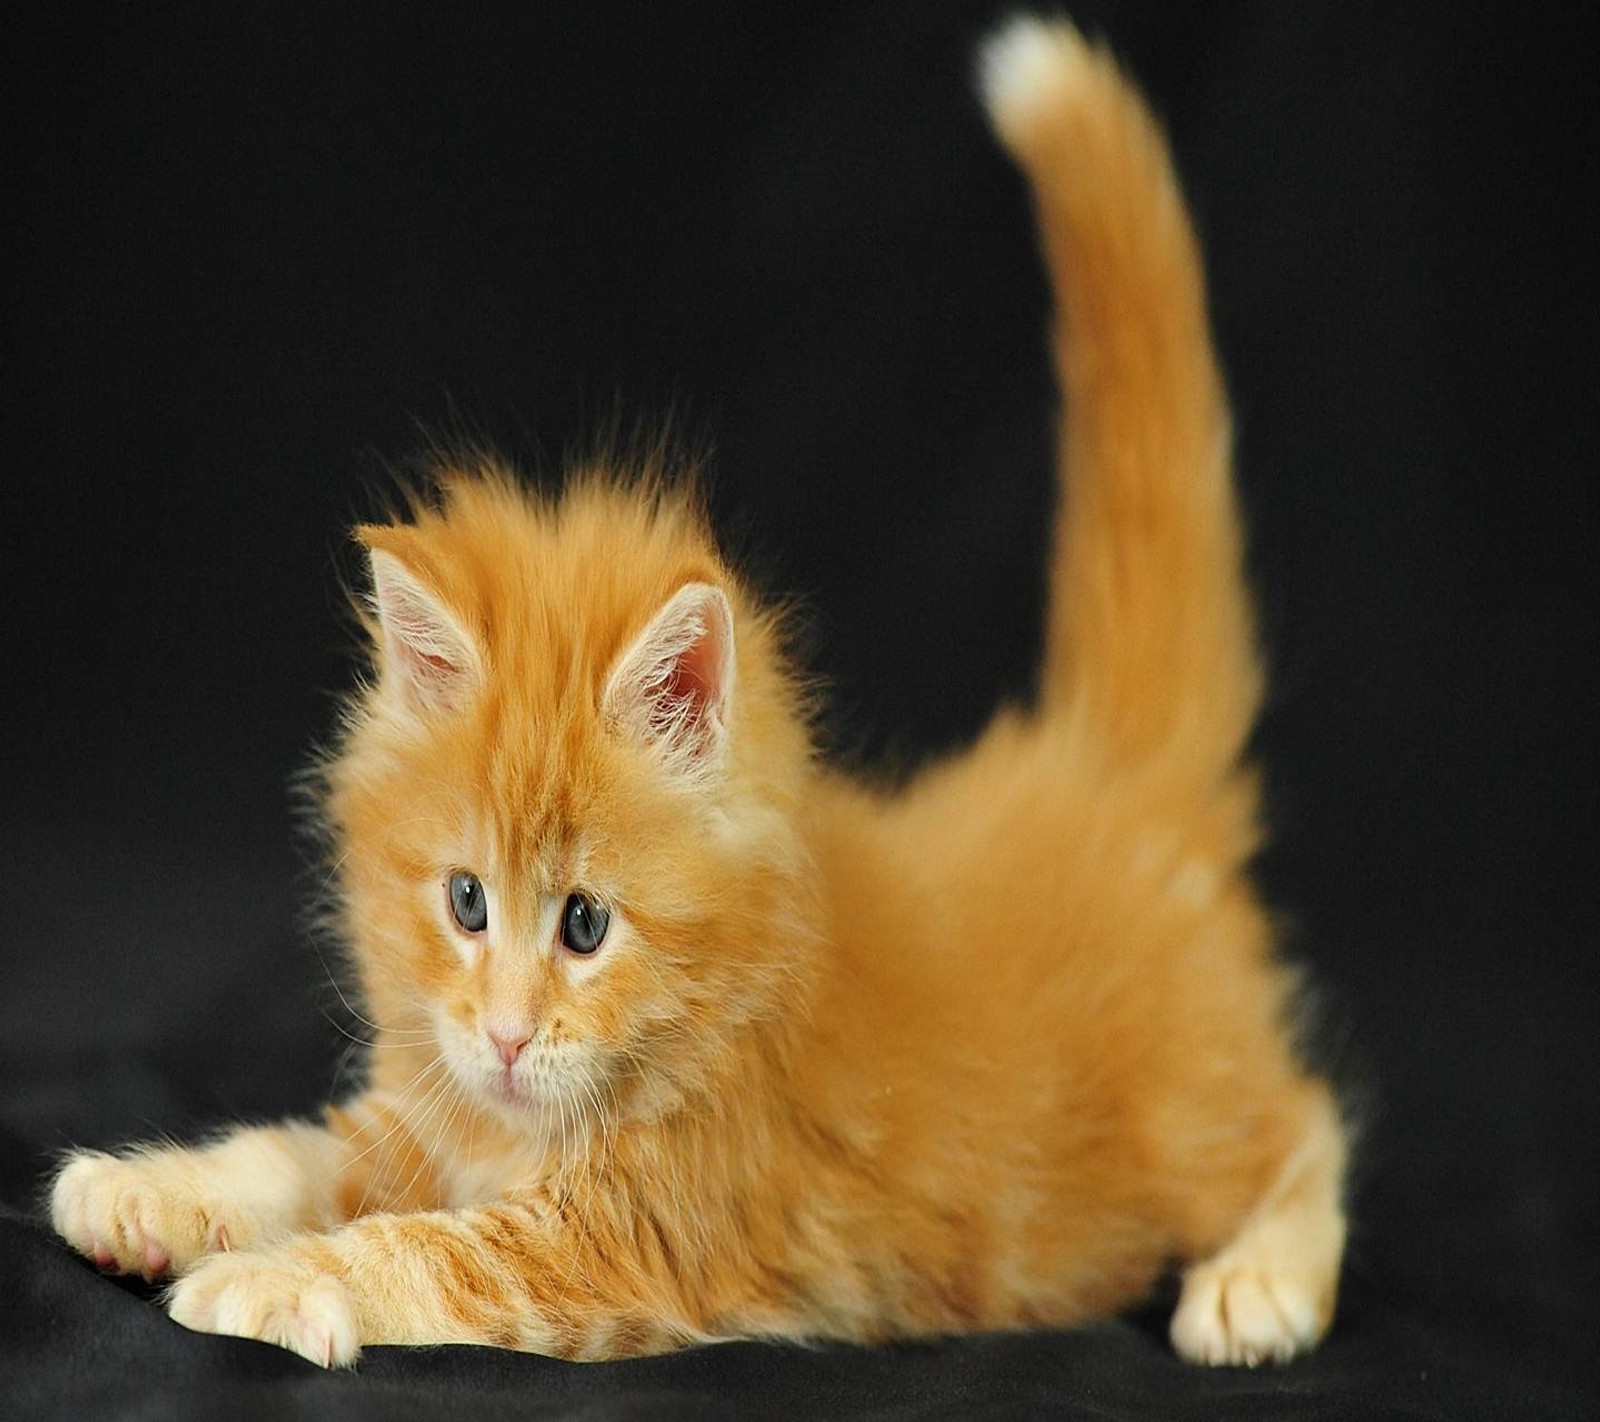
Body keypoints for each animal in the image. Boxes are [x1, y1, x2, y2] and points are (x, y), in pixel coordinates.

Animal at [46, 13, 1350, 1362]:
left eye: (584, 925)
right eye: (465, 902)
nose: (506, 1036)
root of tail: (1104, 772)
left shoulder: (629, 1237)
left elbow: (430, 1251)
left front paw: (273, 1281)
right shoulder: (433, 1119)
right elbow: (303, 1152)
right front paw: (150, 1191)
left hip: (1186, 1123)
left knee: (1305, 1122)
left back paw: (1255, 1286)